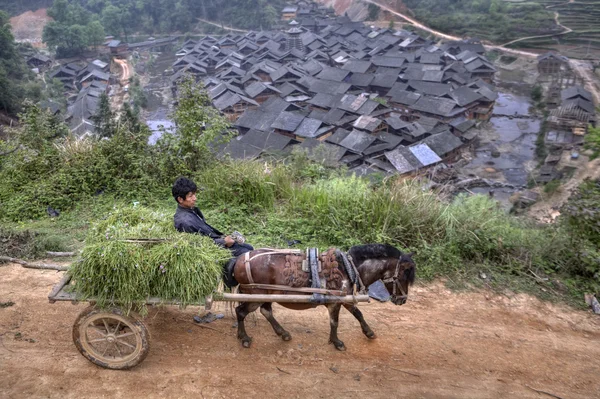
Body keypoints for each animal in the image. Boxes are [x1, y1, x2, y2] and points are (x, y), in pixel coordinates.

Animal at [231, 244, 418, 350]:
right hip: (255, 295)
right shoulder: (335, 302)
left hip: (264, 295)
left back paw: (283, 333)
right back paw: (244, 338)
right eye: (404, 273)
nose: (402, 300)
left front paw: (369, 332)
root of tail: (238, 260)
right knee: (241, 311)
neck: (348, 268)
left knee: (265, 311)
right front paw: (336, 342)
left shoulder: (345, 298)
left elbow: (358, 314)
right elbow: (334, 322)